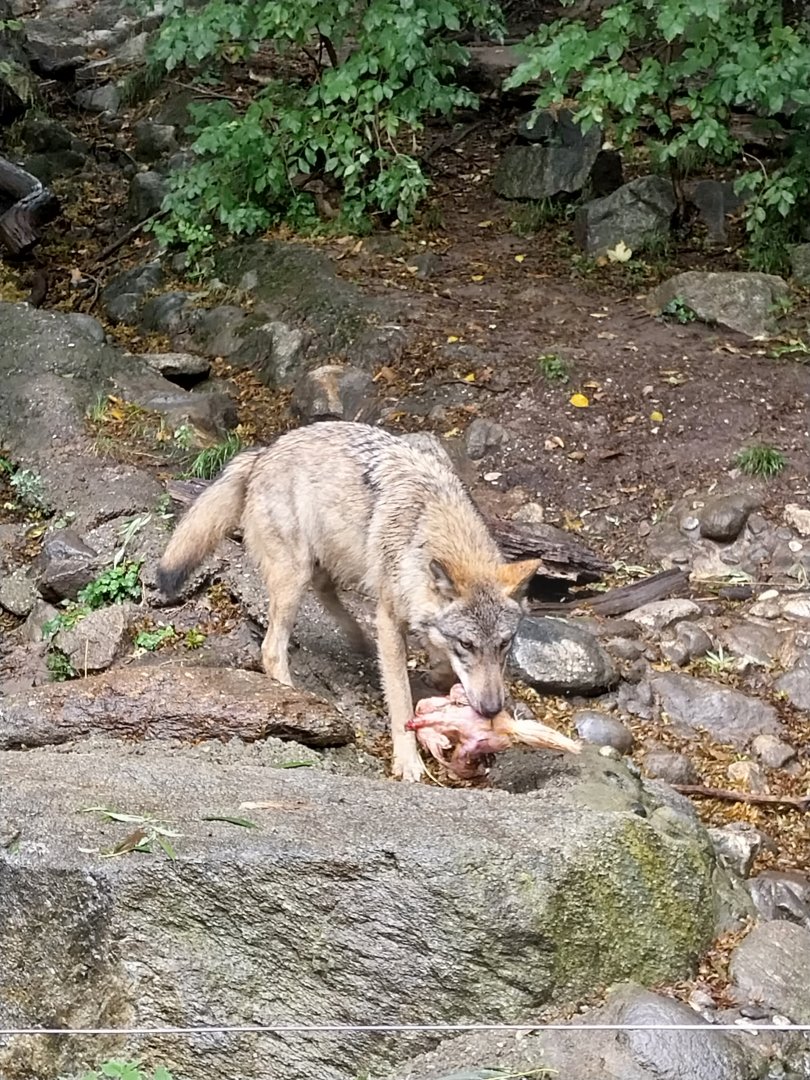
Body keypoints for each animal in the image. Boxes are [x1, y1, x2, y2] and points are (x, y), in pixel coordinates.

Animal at [156, 421, 539, 782]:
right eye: (467, 644)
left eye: (504, 644)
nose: (491, 710)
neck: (431, 526)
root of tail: (263, 453)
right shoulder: (389, 619)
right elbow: (400, 700)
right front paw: (408, 762)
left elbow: (439, 659)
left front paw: (438, 676)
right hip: (293, 577)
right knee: (272, 648)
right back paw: (297, 699)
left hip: (324, 562)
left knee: (325, 592)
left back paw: (359, 642)